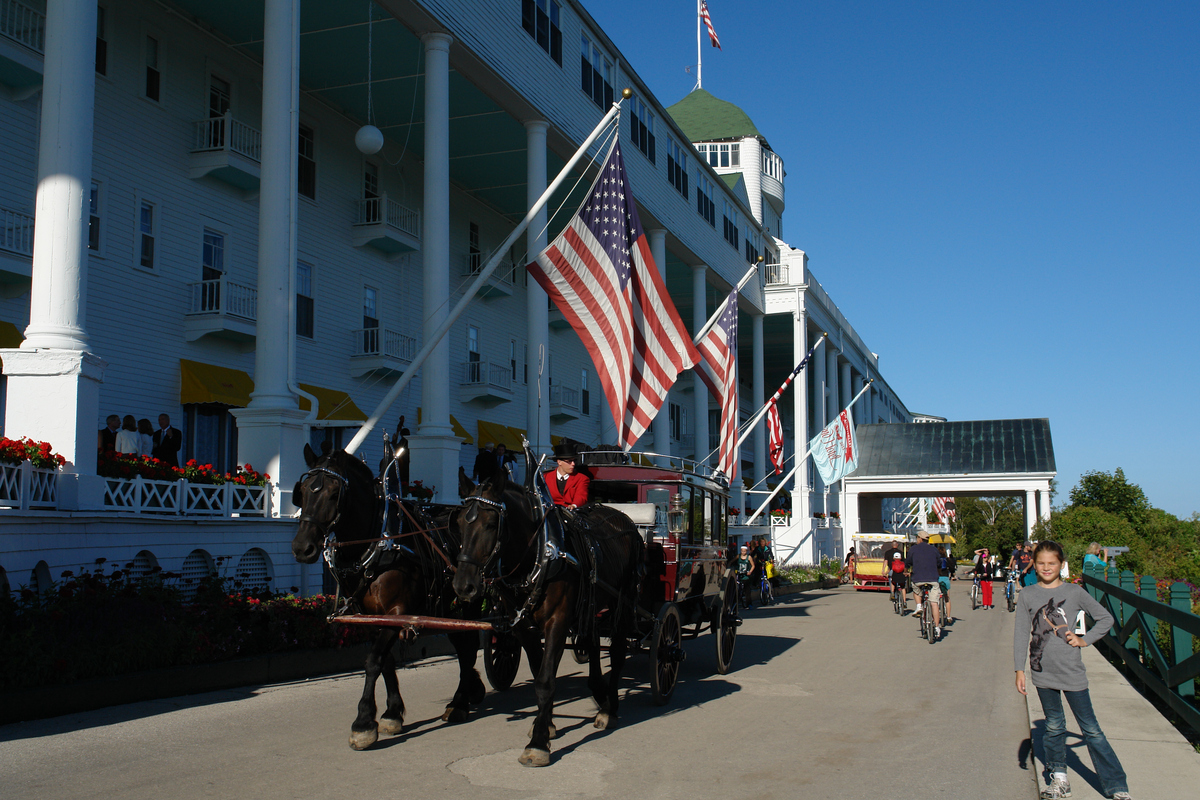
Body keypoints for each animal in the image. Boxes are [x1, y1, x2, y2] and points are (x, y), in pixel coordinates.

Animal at [292, 438, 484, 753]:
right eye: (304, 491)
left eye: (334, 493)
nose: (302, 547)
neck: (378, 545)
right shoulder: (371, 617)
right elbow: (386, 661)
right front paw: (392, 713)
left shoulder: (397, 611)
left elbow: (373, 661)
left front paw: (363, 723)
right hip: (449, 611)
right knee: (462, 647)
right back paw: (470, 690)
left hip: (469, 606)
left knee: (468, 648)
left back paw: (459, 703)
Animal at [451, 453, 643, 767]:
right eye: (457, 523)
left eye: (491, 524)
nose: (463, 585)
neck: (538, 553)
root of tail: (623, 518)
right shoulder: (523, 626)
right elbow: (540, 669)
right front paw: (547, 725)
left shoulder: (557, 621)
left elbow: (544, 681)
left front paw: (538, 743)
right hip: (592, 604)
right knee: (592, 643)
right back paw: (599, 692)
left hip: (623, 603)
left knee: (616, 651)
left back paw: (609, 708)